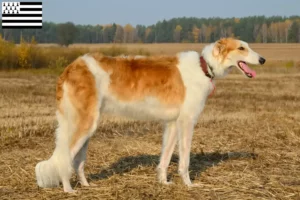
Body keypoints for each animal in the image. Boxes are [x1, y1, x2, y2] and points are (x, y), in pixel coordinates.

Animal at [34, 37, 266, 192]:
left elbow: (164, 159)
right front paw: (189, 185)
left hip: (86, 125)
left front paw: (164, 182)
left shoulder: (172, 123)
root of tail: (72, 66)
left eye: (247, 46)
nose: (263, 59)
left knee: (76, 161)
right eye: (242, 48)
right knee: (64, 158)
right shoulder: (187, 122)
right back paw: (68, 189)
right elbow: (185, 161)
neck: (204, 66)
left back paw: (86, 184)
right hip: (85, 124)